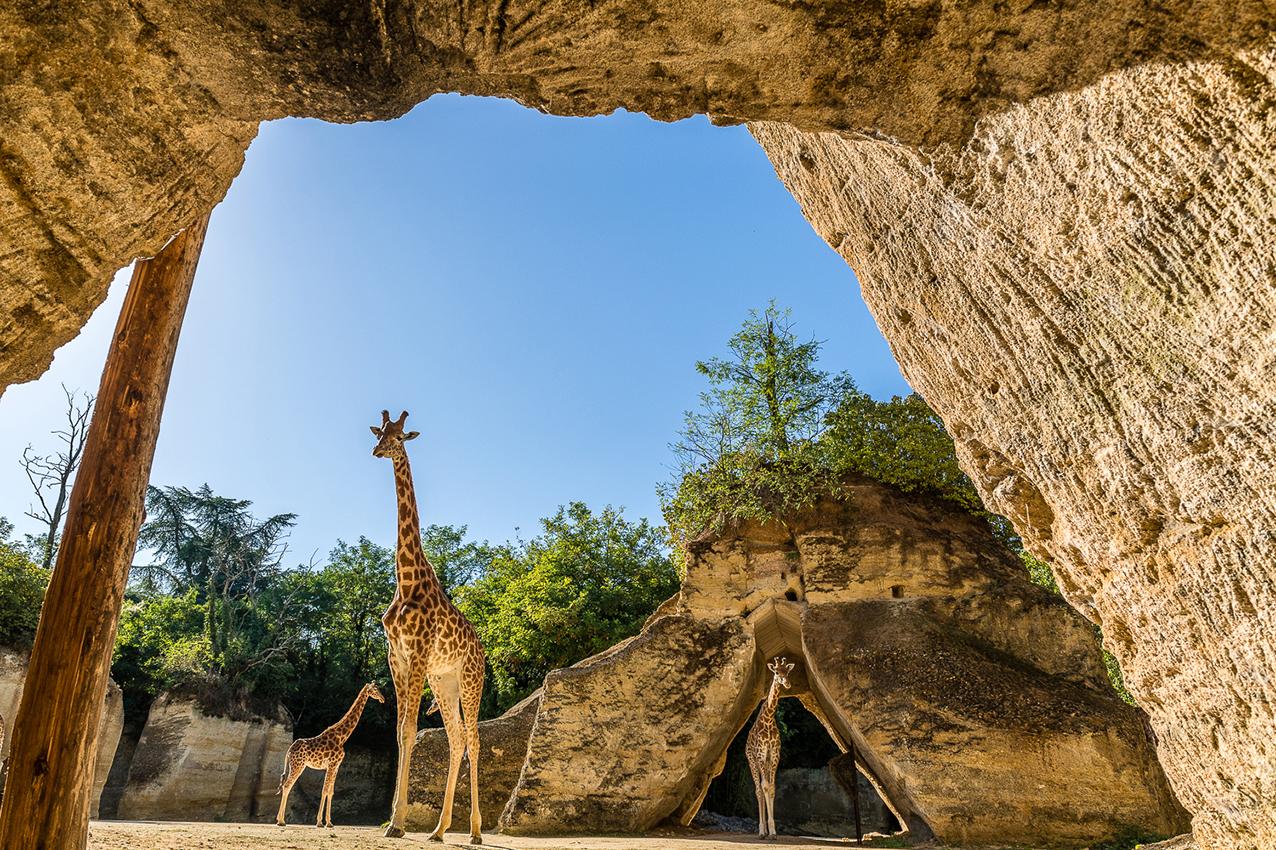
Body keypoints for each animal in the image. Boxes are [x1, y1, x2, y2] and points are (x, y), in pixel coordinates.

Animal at [275, 678, 382, 821]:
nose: (383, 699)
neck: (342, 736)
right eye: (375, 689)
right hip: (298, 765)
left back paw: (279, 819)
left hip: (295, 765)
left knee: (286, 785)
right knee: (287, 786)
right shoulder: (331, 764)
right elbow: (324, 790)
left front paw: (329, 822)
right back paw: (281, 820)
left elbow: (331, 792)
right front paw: (320, 821)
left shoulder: (336, 766)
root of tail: (289, 751)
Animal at [372, 410, 489, 842]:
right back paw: (439, 830)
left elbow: (408, 730)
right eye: (380, 433)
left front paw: (397, 822)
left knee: (473, 738)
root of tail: (482, 652)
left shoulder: (419, 653)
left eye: (399, 437)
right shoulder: (397, 656)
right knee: (456, 739)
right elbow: (400, 731)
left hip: (469, 681)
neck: (406, 578)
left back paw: (475, 831)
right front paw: (395, 820)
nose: (376, 451)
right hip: (445, 681)